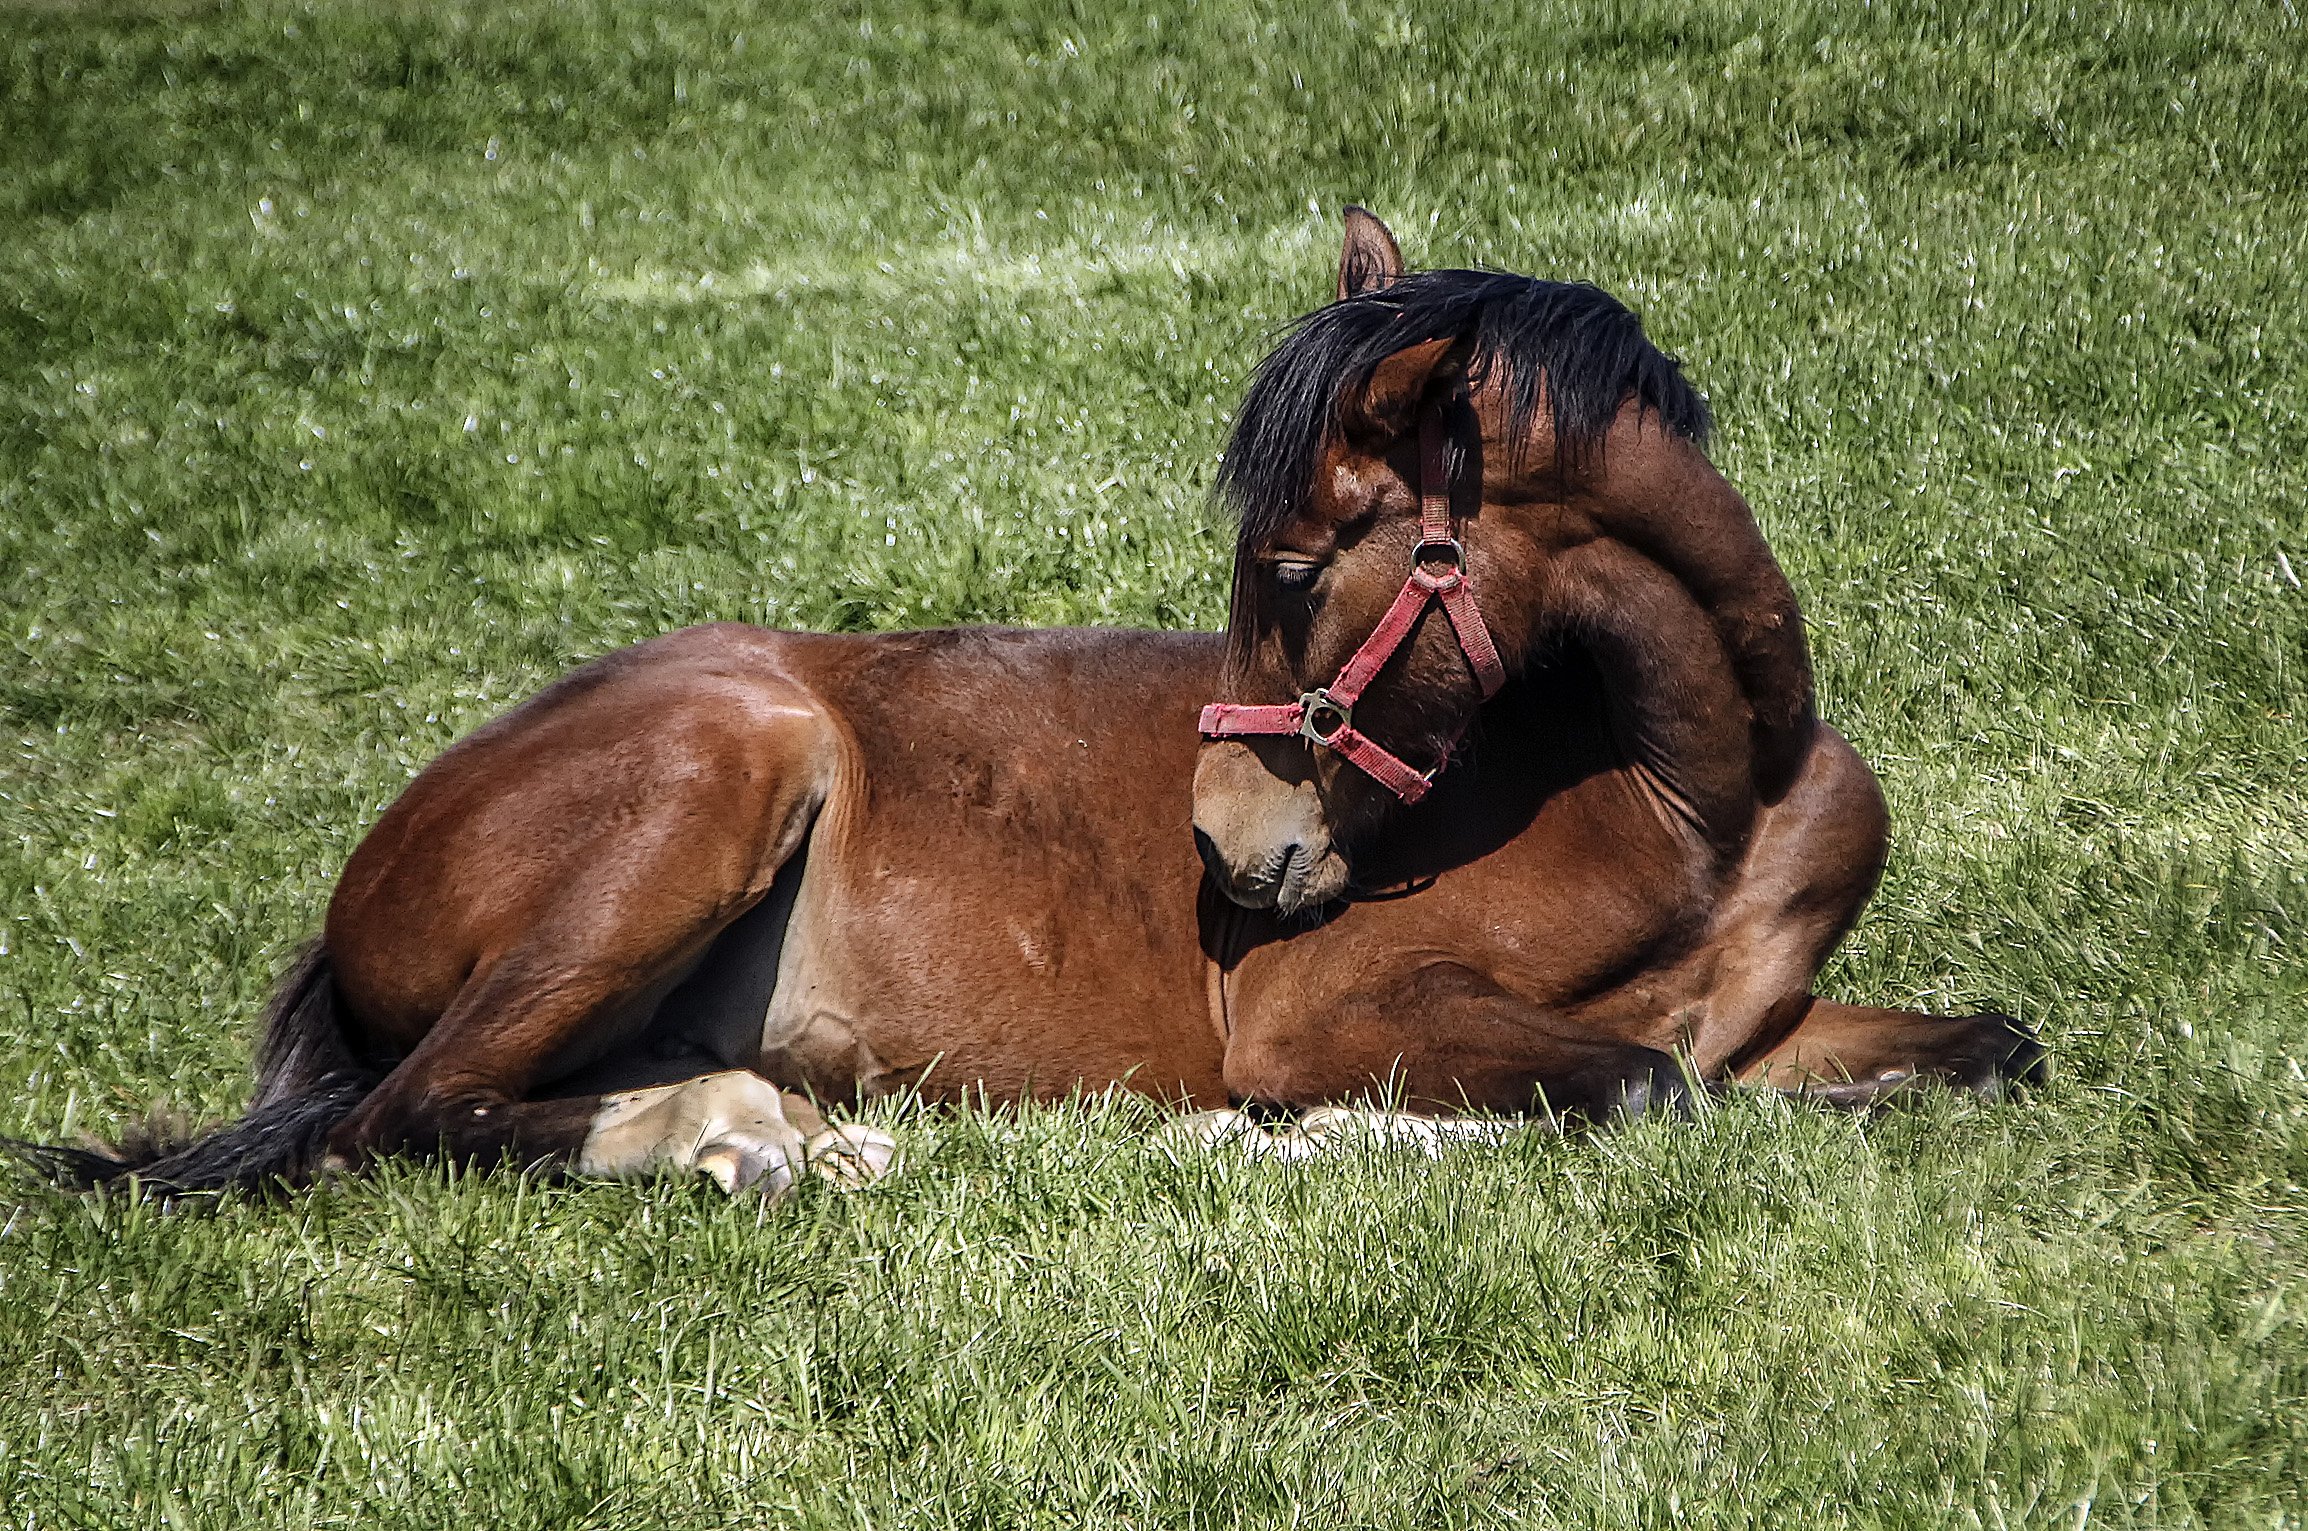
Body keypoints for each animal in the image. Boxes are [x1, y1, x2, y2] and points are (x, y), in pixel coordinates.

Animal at [18, 210, 2040, 1200]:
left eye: (1291, 566)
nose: (1224, 845)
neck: (1701, 798)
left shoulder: (1772, 1023)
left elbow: (1961, 1052)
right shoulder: (1329, 1011)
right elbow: (1633, 1086)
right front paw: (1288, 1141)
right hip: (718, 769)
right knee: (399, 1122)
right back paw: (737, 1140)